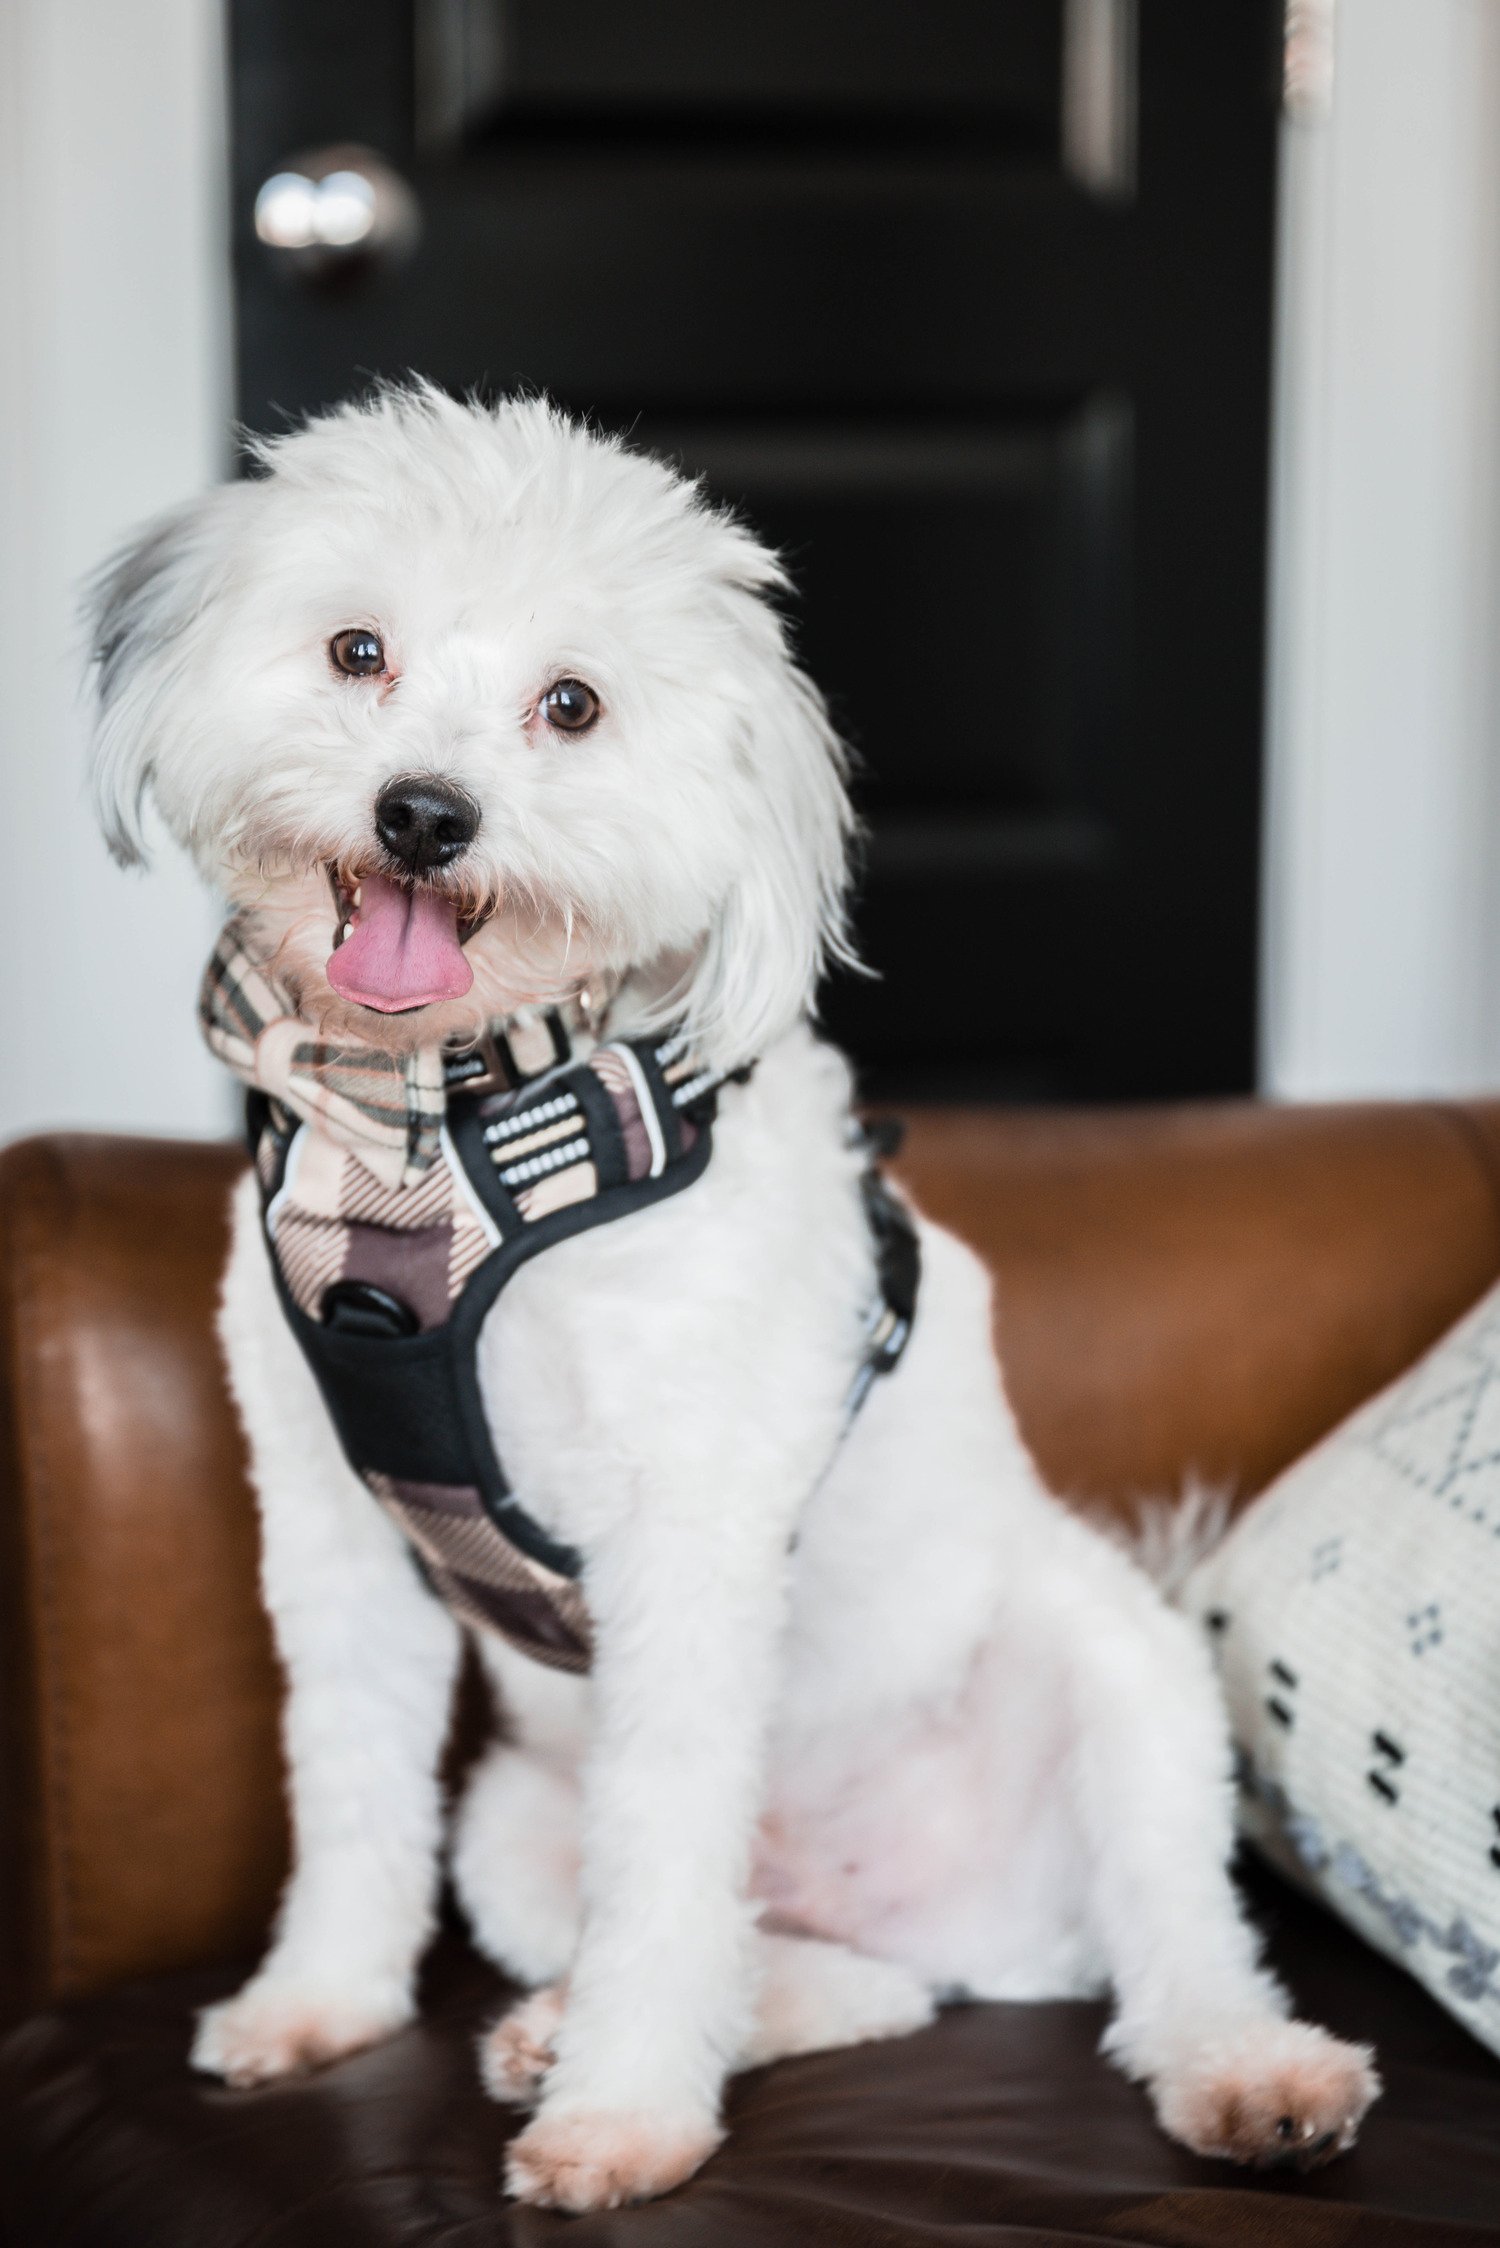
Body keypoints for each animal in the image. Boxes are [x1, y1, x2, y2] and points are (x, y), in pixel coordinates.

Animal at [79, 391, 1376, 2212]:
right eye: (356, 650)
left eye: (573, 703)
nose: (424, 815)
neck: (445, 1122)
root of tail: (984, 1937)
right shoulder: (338, 1537)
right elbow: (347, 1799)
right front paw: (321, 2002)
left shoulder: (684, 1548)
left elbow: (665, 1864)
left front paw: (621, 2118)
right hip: (517, 1826)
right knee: (820, 1972)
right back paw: (585, 2024)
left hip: (1116, 1674)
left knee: (1174, 1945)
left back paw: (1254, 2073)